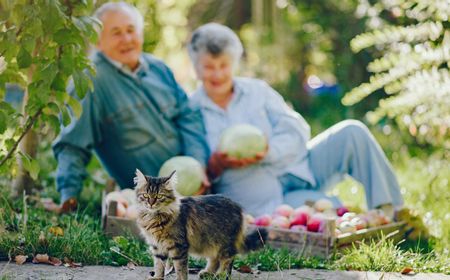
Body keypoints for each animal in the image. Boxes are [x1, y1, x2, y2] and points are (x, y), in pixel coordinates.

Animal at [134, 168, 268, 280]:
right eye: (145, 195)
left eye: (159, 196)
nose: (151, 203)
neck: (153, 218)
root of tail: (238, 207)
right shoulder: (157, 246)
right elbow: (159, 265)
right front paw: (157, 277)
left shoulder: (178, 246)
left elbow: (180, 268)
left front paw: (180, 279)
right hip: (211, 241)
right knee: (215, 258)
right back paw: (208, 273)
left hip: (224, 243)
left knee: (227, 259)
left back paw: (221, 275)